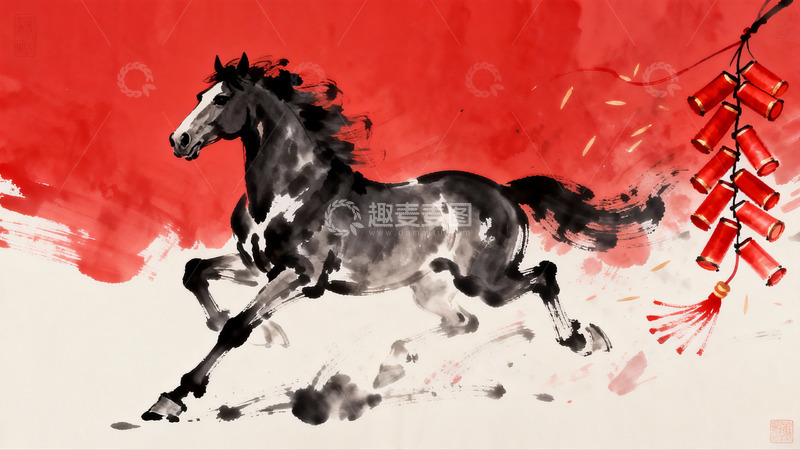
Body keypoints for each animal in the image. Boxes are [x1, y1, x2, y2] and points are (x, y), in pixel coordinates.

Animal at [143, 53, 665, 421]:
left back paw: (579, 339)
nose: (177, 141)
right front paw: (272, 334)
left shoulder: (300, 275)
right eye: (199, 94)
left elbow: (236, 327)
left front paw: (173, 397)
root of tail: (504, 190)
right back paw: (393, 362)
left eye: (221, 99)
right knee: (464, 321)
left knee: (542, 275)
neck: (289, 190)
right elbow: (196, 275)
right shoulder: (258, 267)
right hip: (429, 286)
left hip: (486, 281)